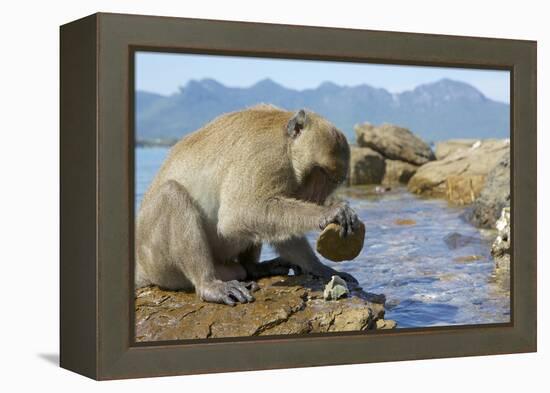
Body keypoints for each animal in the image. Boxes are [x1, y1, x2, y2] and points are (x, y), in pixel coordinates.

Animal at [137, 105, 362, 306]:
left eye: (333, 181)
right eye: (320, 172)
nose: (317, 198)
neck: (286, 145)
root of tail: (142, 268)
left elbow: (284, 230)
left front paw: (319, 267)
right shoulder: (266, 157)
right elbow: (238, 215)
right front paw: (331, 212)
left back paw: (254, 267)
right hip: (160, 264)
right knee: (171, 194)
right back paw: (208, 285)